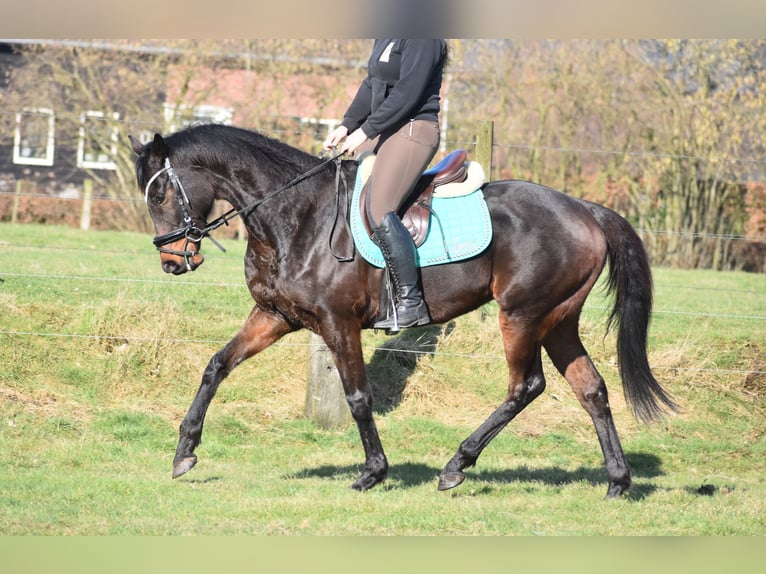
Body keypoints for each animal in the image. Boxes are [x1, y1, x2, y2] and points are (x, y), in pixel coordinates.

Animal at [130, 125, 680, 500]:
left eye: (159, 192)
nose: (172, 261)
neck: (295, 216)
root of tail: (585, 209)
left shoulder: (338, 323)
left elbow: (357, 397)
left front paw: (373, 472)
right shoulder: (275, 316)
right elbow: (217, 365)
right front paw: (184, 452)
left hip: (523, 316)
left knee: (526, 386)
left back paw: (457, 464)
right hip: (558, 320)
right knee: (591, 389)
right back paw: (617, 481)